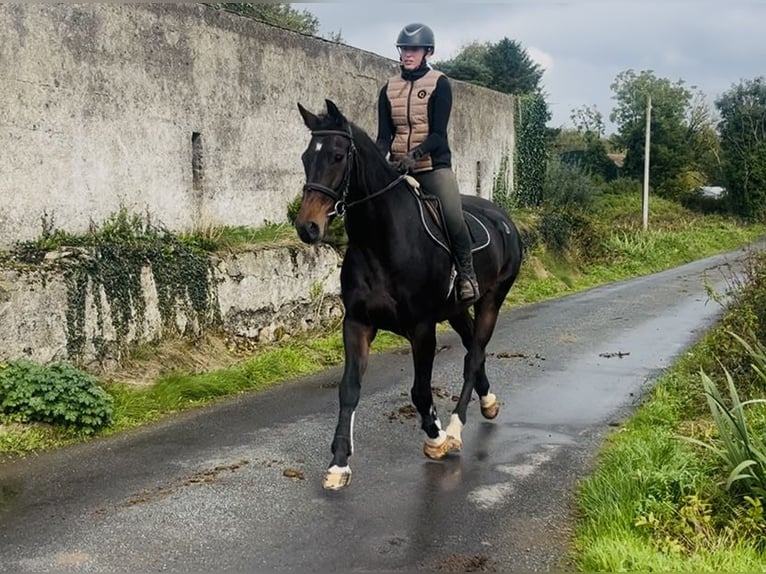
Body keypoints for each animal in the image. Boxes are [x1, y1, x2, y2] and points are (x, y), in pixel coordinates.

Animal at [294, 99, 523, 490]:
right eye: (307, 157)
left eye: (338, 156)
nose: (307, 227)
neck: (381, 242)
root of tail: (504, 219)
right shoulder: (357, 323)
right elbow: (348, 388)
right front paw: (338, 464)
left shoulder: (422, 328)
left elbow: (419, 390)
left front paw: (436, 436)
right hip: (457, 310)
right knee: (472, 349)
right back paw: (488, 401)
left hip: (492, 299)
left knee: (474, 355)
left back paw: (455, 428)